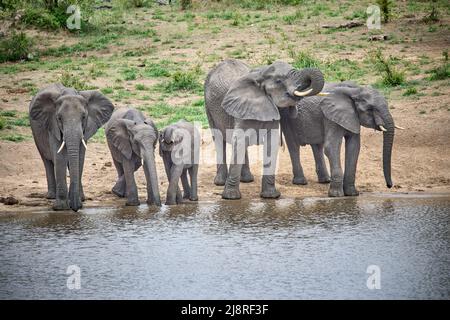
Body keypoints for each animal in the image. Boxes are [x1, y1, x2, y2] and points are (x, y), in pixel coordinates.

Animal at [206, 58, 326, 199]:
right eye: (279, 81)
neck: (261, 74)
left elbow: (271, 143)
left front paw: (271, 196)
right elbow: (239, 141)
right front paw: (231, 197)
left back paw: (247, 180)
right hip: (208, 107)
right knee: (219, 138)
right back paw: (220, 182)